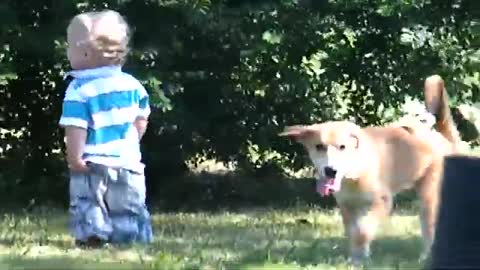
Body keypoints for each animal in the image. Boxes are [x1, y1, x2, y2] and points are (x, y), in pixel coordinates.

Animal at [280, 75, 460, 264]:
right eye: (319, 146)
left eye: (342, 147)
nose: (330, 170)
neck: (353, 173)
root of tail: (443, 139)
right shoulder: (348, 206)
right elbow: (353, 233)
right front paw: (356, 257)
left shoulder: (380, 202)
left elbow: (362, 231)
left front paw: (359, 259)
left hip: (429, 198)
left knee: (430, 228)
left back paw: (426, 257)